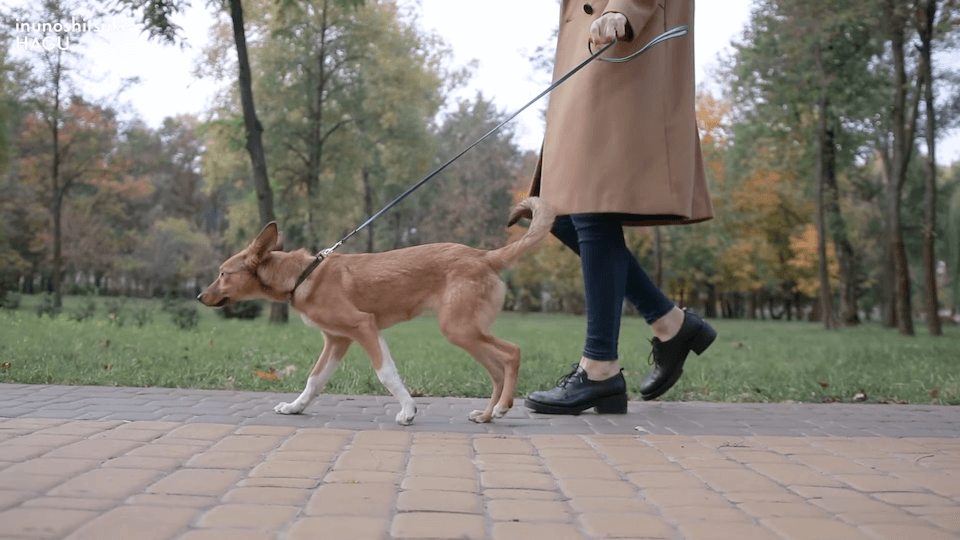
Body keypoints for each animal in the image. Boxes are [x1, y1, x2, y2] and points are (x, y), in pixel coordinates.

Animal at [197, 196, 556, 424]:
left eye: (223, 273)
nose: (200, 296)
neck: (302, 276)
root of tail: (484, 255)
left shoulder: (363, 327)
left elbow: (386, 374)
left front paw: (408, 410)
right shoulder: (338, 340)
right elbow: (315, 379)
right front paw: (295, 407)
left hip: (460, 329)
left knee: (512, 353)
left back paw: (503, 407)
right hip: (466, 332)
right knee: (497, 370)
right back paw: (487, 415)